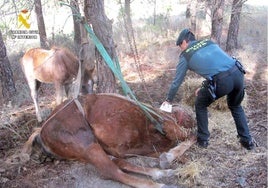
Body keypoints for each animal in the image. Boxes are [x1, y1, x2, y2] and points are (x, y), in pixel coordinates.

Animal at [22, 93, 197, 187]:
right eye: (188, 116)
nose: (195, 120)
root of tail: (41, 132)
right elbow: (190, 137)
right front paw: (170, 156)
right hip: (87, 143)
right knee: (111, 171)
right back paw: (161, 184)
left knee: (118, 164)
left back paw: (160, 172)